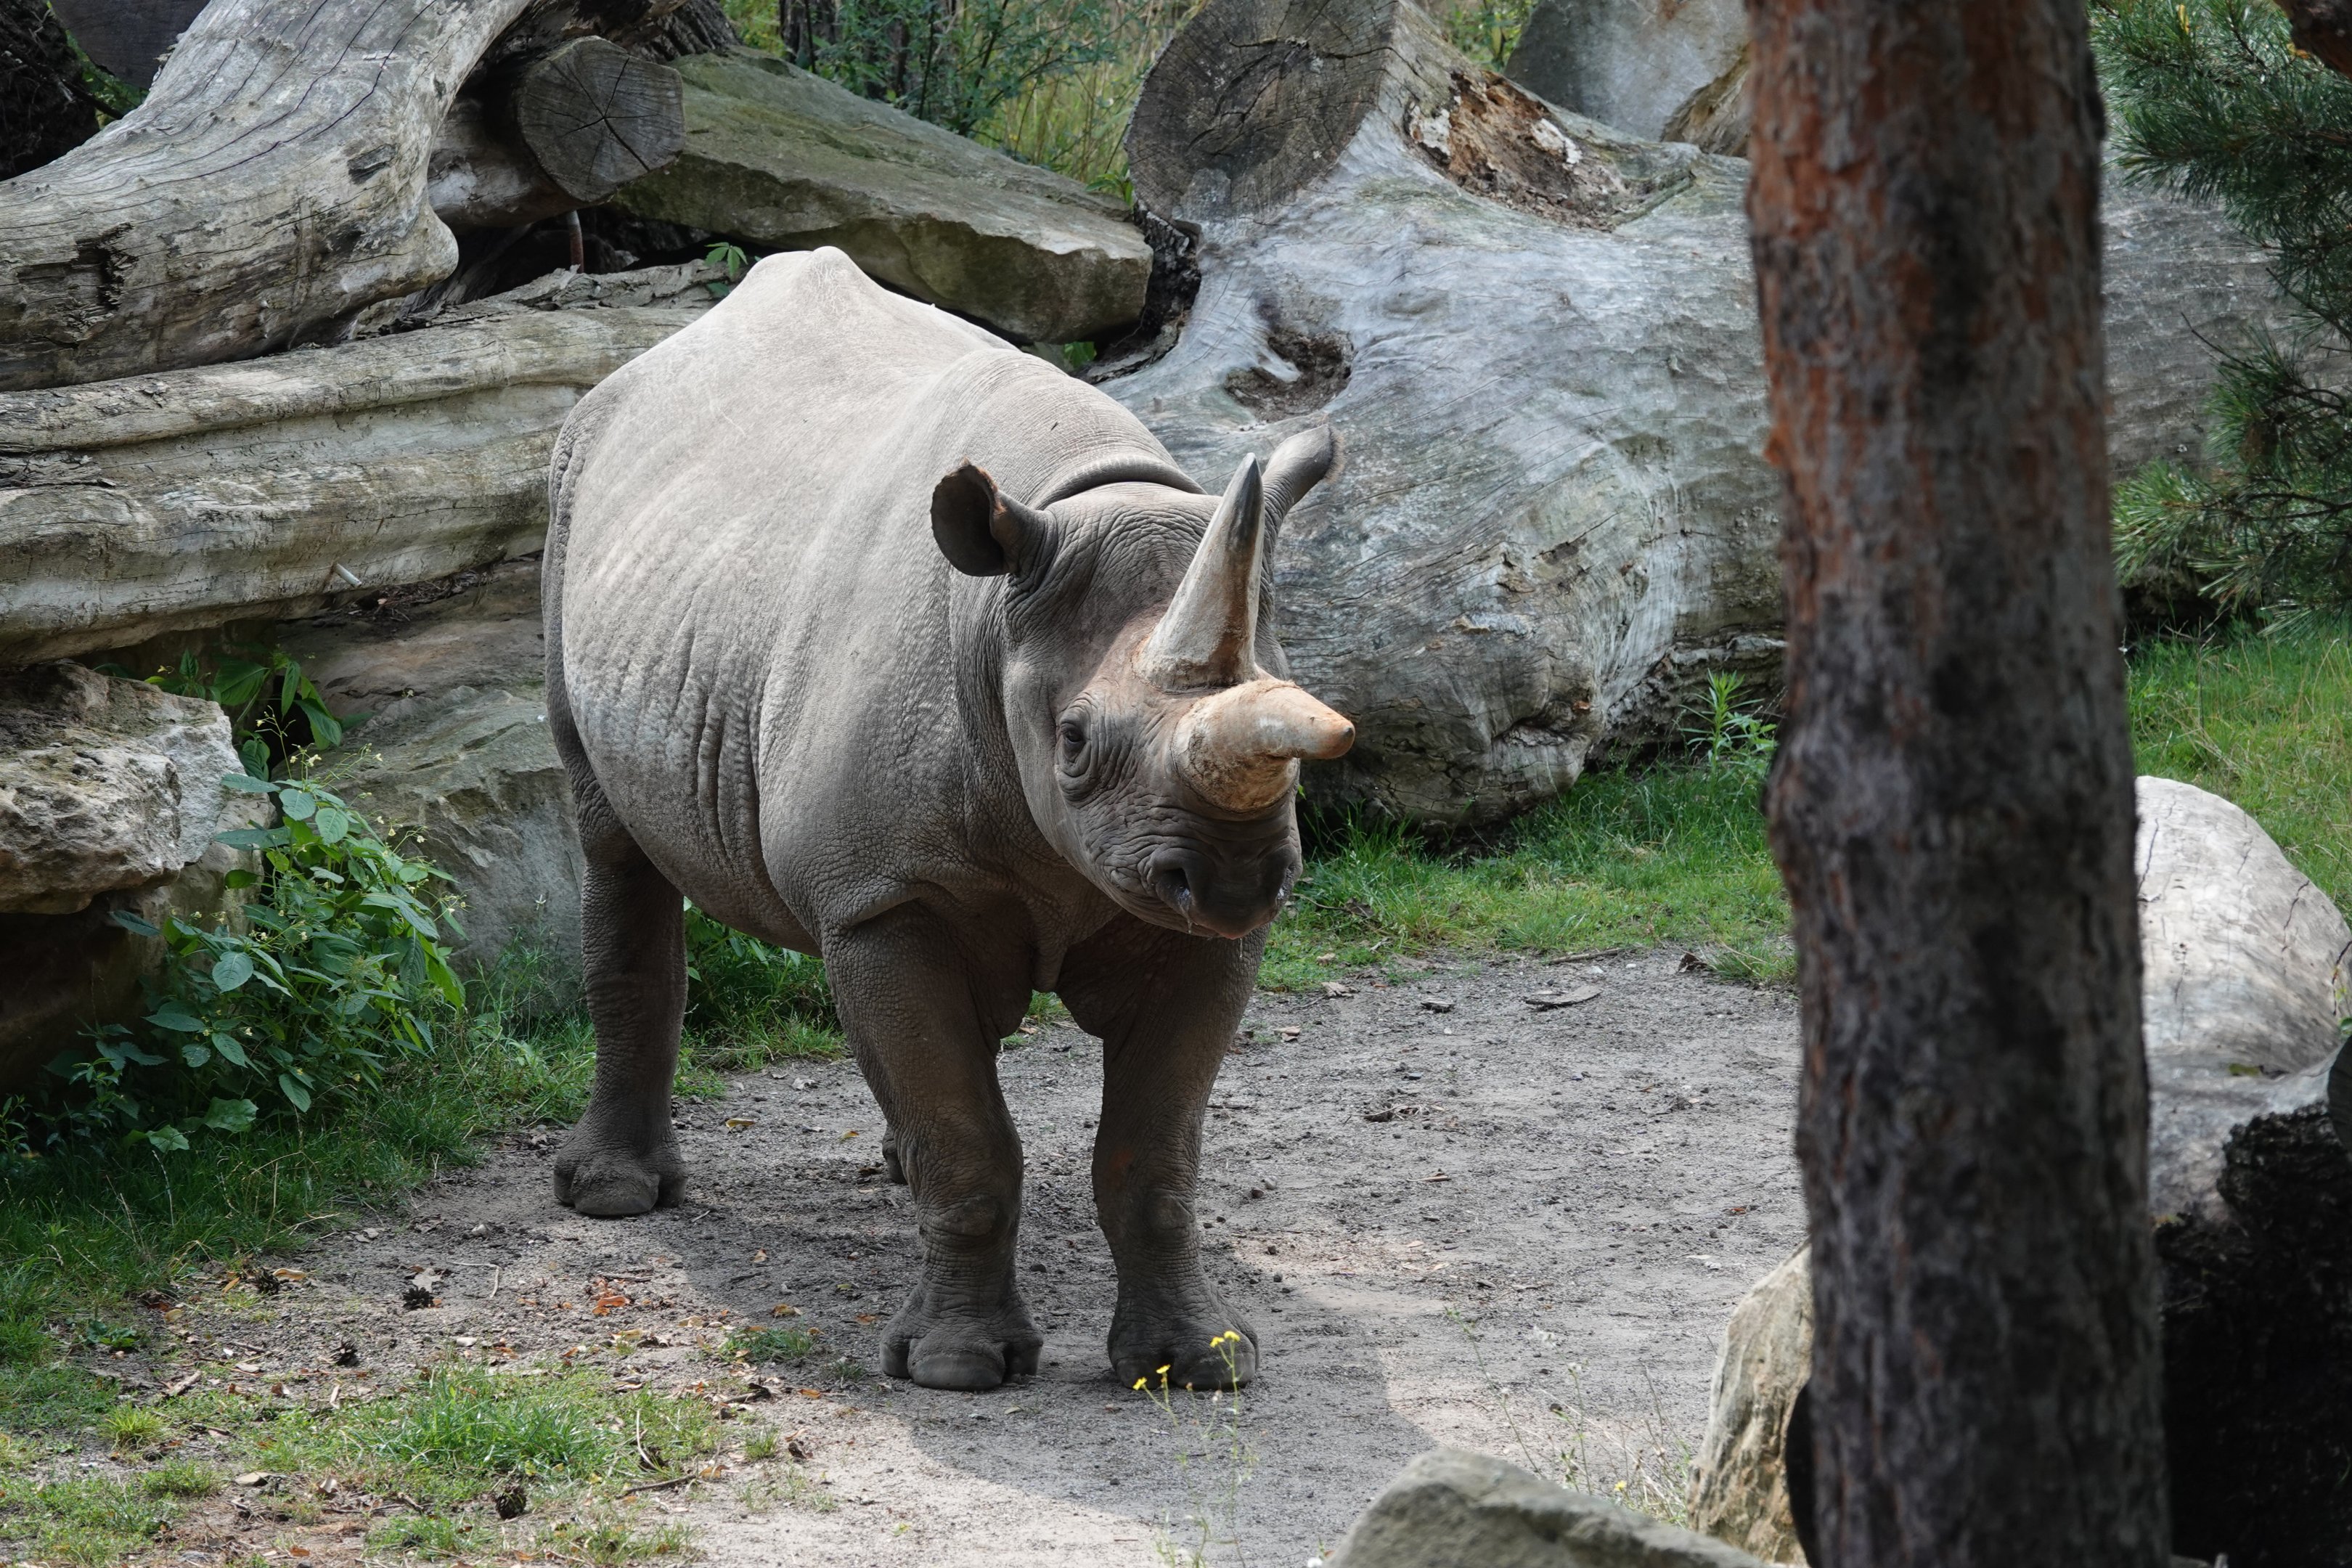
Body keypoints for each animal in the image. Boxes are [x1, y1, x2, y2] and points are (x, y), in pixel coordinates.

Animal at [542, 249, 1354, 1392]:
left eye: (1307, 713)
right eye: (1073, 740)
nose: (1239, 882)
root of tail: (648, 362)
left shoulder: (1191, 929)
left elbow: (1154, 1155)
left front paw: (1195, 1363)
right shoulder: (888, 895)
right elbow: (971, 1142)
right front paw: (956, 1369)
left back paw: (892, 1164)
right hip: (570, 496)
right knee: (614, 845)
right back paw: (614, 1196)